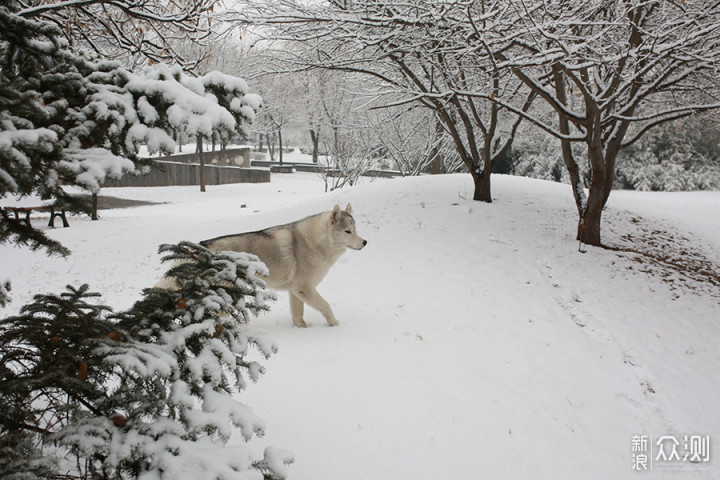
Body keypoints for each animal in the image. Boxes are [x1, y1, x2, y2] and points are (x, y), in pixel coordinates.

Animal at [198, 204, 362, 328]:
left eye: (355, 230)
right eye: (348, 231)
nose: (364, 242)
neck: (314, 243)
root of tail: (203, 247)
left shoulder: (295, 291)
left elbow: (298, 315)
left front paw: (302, 327)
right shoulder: (305, 288)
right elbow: (326, 305)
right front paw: (333, 322)